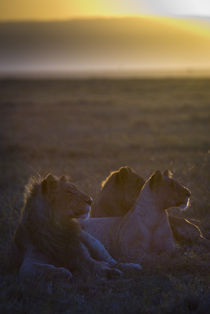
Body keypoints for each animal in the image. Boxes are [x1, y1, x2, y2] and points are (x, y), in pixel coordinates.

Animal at [13, 174, 141, 282]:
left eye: (76, 189)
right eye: (69, 192)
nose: (91, 200)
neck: (56, 227)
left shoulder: (80, 252)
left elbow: (95, 264)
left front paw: (110, 271)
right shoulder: (29, 261)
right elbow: (37, 269)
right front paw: (63, 272)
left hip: (93, 242)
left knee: (111, 261)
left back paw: (133, 266)